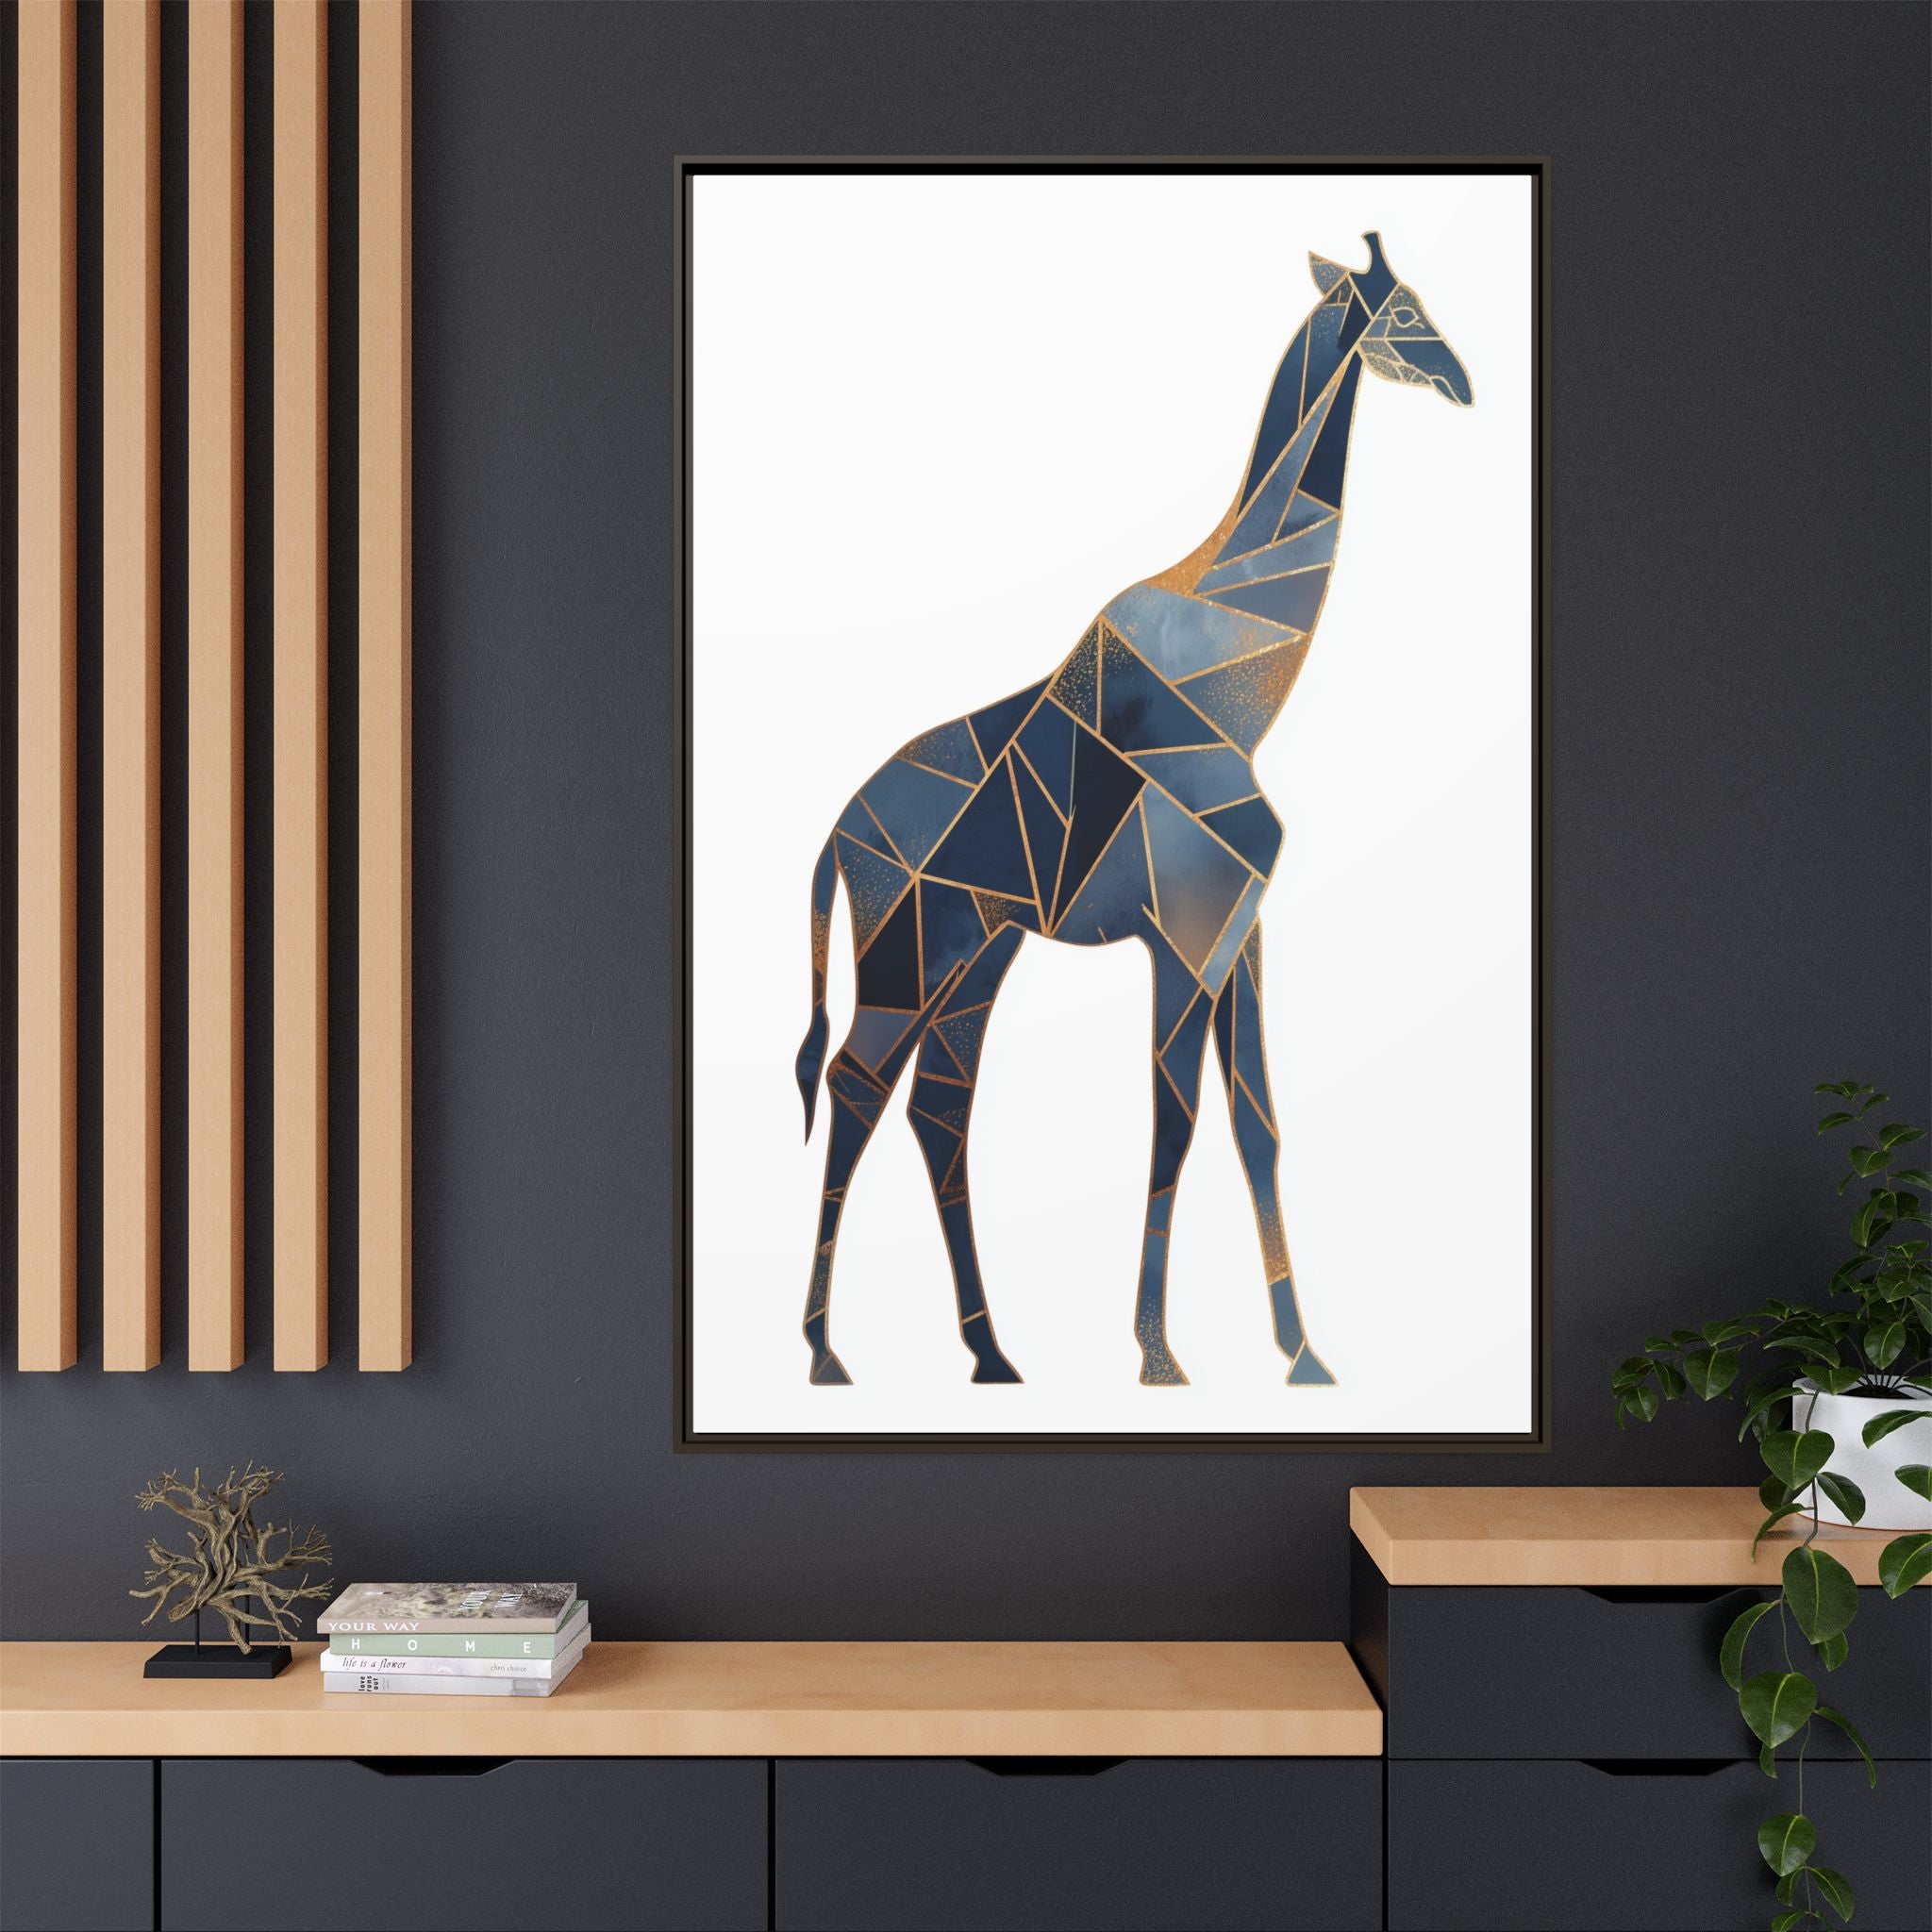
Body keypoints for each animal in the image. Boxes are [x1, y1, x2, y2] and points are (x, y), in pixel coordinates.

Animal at [793, 232, 1473, 1390]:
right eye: (1402, 311)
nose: (1462, 381)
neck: (1239, 684)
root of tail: (837, 837)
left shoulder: (1239, 931)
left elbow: (1257, 1124)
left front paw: (1302, 1355)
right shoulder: (1184, 933)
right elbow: (1176, 1122)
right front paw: (1158, 1354)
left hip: (977, 956)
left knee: (937, 1107)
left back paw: (990, 1353)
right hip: (906, 953)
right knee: (853, 1087)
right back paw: (826, 1352)